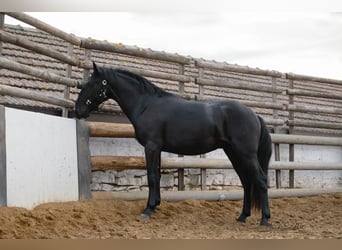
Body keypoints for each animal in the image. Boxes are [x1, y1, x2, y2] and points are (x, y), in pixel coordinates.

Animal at [75, 63, 272, 227]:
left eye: (92, 84)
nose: (78, 110)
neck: (146, 104)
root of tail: (254, 115)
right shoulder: (157, 149)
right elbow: (157, 176)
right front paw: (155, 205)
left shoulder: (151, 146)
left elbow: (152, 176)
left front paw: (148, 210)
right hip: (234, 153)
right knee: (247, 181)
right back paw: (243, 216)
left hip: (245, 154)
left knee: (260, 180)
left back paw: (264, 220)